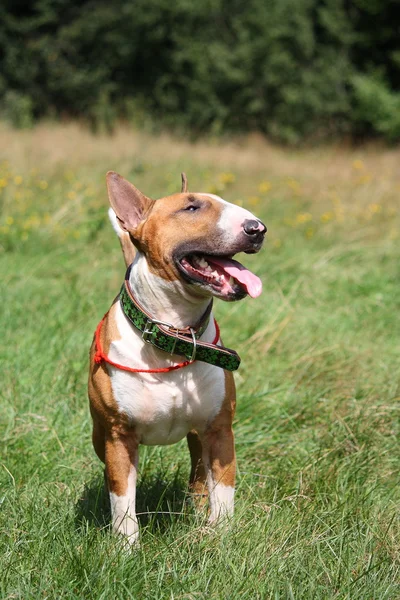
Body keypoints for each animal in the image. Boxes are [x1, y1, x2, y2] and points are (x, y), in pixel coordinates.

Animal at [87, 171, 266, 548]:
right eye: (191, 207)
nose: (257, 228)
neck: (174, 337)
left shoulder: (219, 430)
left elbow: (223, 492)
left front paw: (220, 539)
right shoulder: (118, 436)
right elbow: (122, 499)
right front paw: (125, 550)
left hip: (198, 438)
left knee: (198, 476)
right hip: (100, 437)